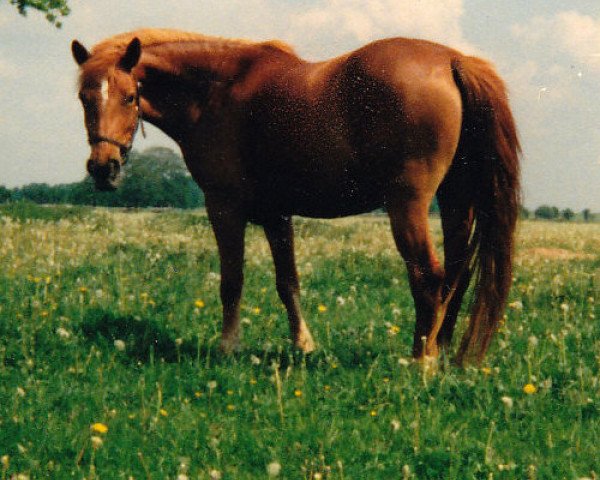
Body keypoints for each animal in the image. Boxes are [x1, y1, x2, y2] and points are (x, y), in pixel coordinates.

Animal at [71, 28, 520, 364]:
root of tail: (451, 61)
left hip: (407, 204)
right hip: (455, 200)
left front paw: (228, 346)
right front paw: (303, 344)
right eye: (84, 98)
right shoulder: (277, 215)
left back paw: (420, 361)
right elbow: (288, 282)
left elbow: (232, 281)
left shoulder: (224, 207)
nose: (103, 168)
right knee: (455, 276)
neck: (216, 91)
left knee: (429, 276)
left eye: (130, 96)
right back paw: (439, 353)